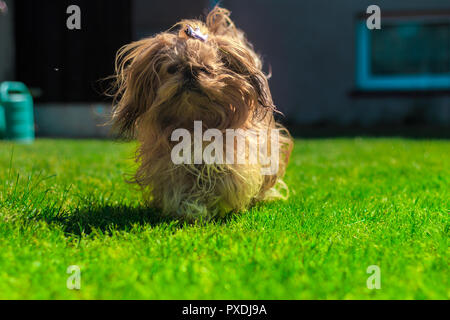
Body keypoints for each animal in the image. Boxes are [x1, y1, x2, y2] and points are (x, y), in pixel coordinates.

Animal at [110, 6, 294, 220]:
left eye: (205, 69)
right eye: (173, 69)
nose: (190, 71)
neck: (195, 121)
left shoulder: (231, 160)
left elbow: (222, 182)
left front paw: (205, 206)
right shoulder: (170, 166)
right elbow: (181, 189)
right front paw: (191, 208)